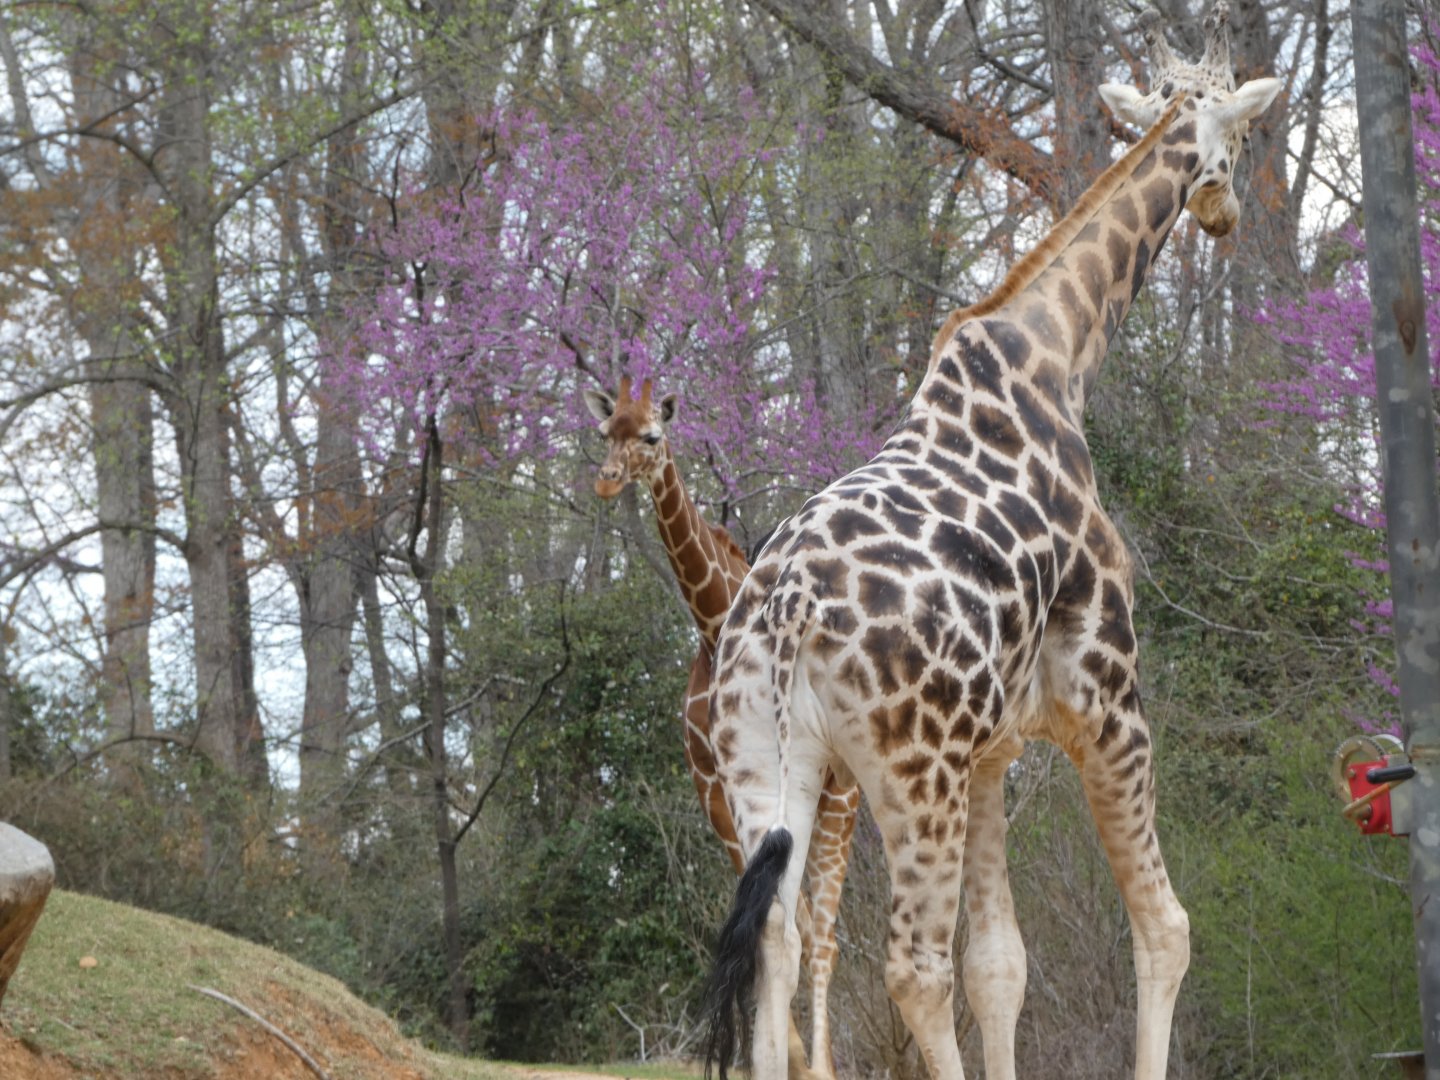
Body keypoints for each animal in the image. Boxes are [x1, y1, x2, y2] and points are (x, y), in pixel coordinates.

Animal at [582, 375, 861, 1078]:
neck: (712, 628)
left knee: (828, 933)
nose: (607, 481)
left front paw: (802, 1060)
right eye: (605, 433)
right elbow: (761, 922)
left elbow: (803, 930)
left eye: (652, 435)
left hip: (844, 796)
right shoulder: (718, 797)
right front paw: (774, 1053)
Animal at [701, 5, 1279, 1078]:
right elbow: (1163, 926)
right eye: (1243, 135)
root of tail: (787, 612)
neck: (1060, 355)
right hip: (908, 775)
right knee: (909, 968)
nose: (1225, 217)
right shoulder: (1105, 694)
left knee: (779, 939)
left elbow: (1000, 965)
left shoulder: (992, 752)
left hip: (765, 759)